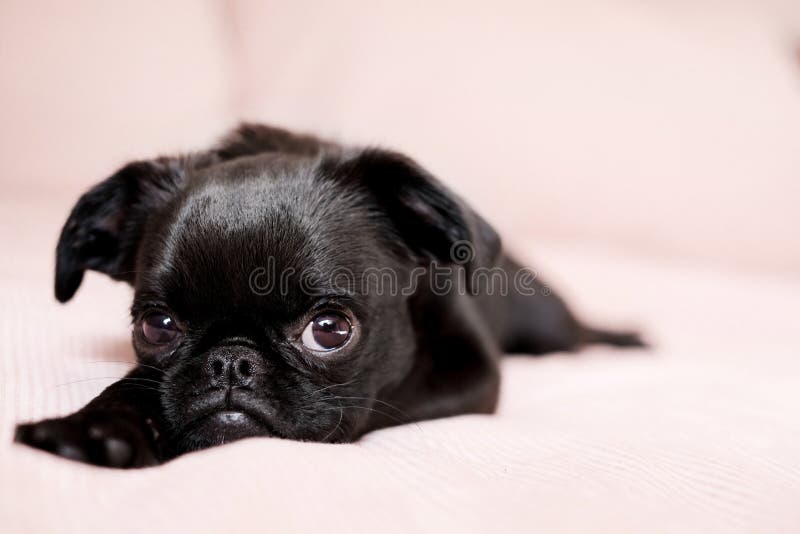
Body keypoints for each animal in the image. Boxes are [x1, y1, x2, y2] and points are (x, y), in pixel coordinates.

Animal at [14, 123, 644, 466]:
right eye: (157, 326)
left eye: (330, 330)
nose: (231, 361)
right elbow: (134, 389)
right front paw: (94, 430)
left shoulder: (469, 373)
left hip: (547, 320)